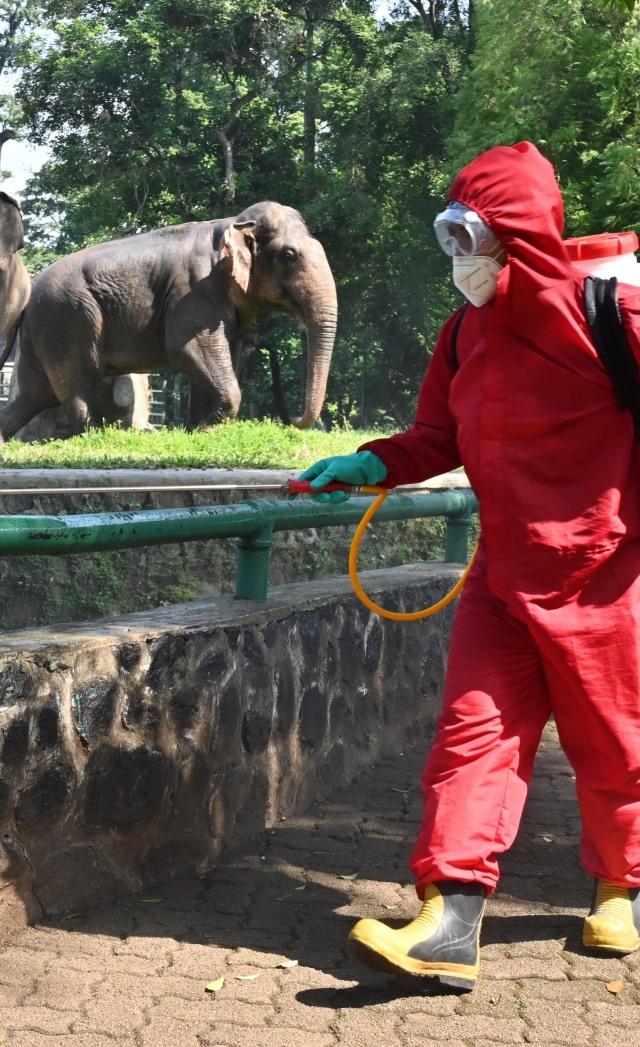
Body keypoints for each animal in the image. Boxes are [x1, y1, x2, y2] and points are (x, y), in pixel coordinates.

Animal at [0, 197, 341, 439]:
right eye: (288, 256)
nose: (294, 420)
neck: (234, 223)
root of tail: (28, 301)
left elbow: (223, 353)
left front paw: (201, 429)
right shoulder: (195, 289)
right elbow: (186, 347)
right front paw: (208, 427)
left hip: (44, 333)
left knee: (34, 394)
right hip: (66, 320)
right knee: (75, 386)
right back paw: (86, 436)